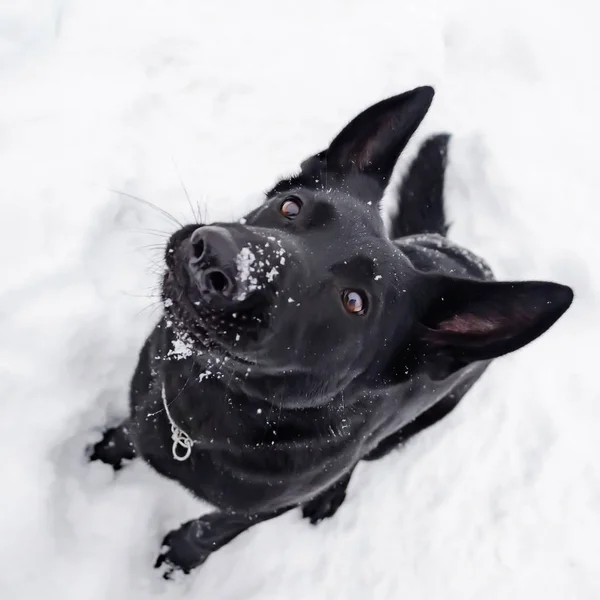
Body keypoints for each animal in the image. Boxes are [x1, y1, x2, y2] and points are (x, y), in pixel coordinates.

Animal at [89, 86, 572, 580]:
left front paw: (178, 561)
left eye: (354, 301)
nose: (214, 258)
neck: (203, 403)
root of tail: (462, 254)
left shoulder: (259, 509)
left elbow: (210, 530)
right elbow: (129, 431)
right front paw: (106, 450)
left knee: (361, 458)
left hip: (406, 430)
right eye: (291, 206)